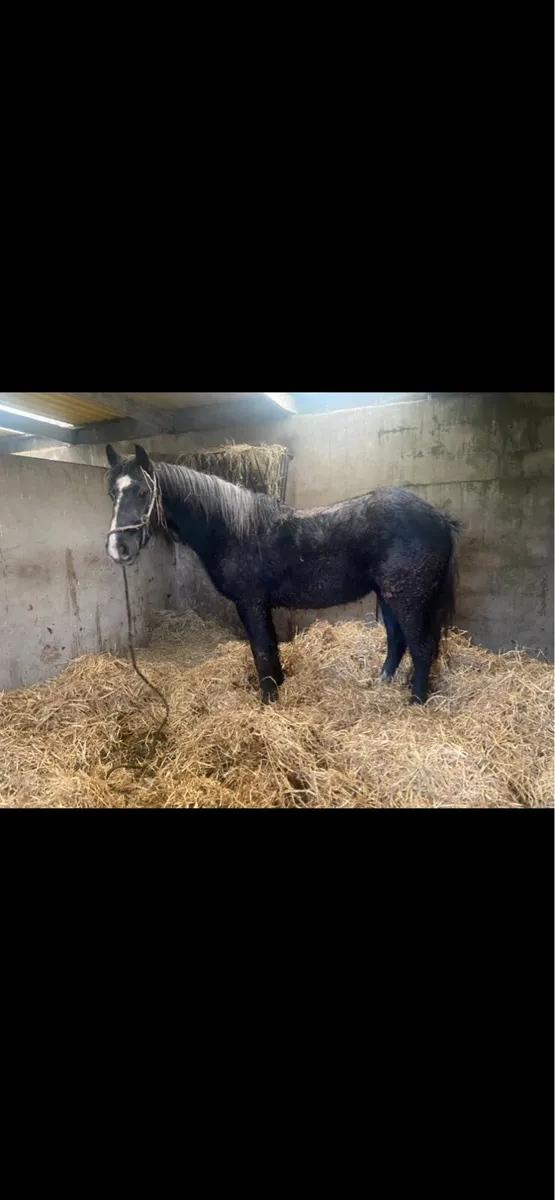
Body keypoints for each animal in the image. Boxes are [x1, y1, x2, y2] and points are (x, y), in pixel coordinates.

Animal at [105, 443, 459, 705]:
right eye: (112, 494)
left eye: (142, 492)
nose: (118, 548)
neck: (233, 530)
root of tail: (439, 518)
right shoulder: (260, 605)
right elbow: (270, 647)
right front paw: (278, 685)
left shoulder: (250, 603)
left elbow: (261, 649)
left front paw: (268, 699)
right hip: (389, 595)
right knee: (397, 640)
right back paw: (381, 684)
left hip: (409, 597)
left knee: (422, 646)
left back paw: (415, 702)